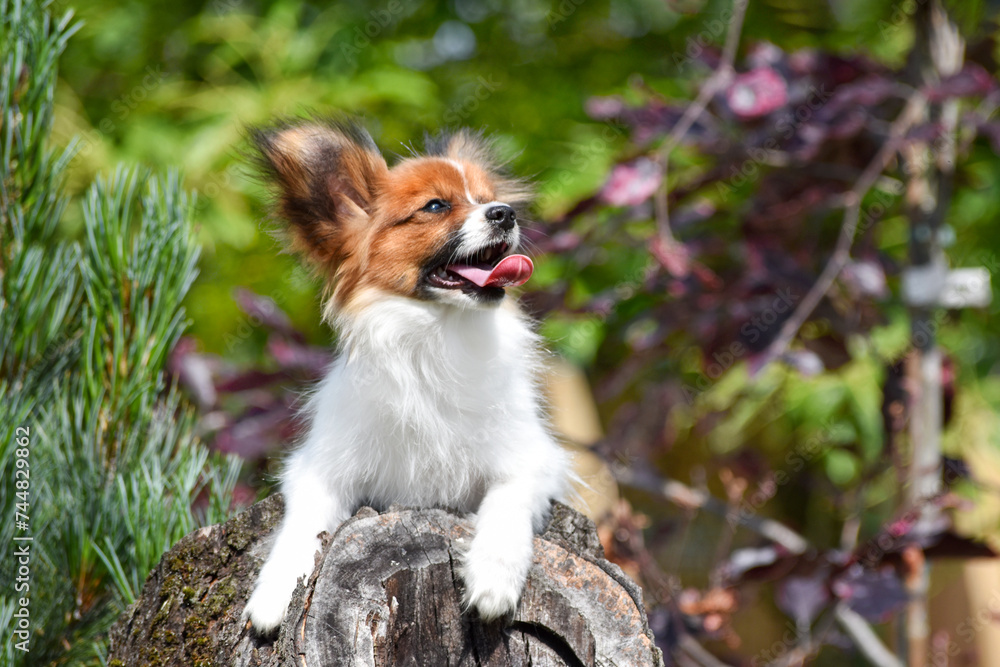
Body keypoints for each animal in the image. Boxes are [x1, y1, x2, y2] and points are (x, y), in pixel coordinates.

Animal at [241, 117, 572, 636]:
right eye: (435, 206)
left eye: (486, 198)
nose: (505, 213)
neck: (436, 335)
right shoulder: (319, 468)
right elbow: (300, 527)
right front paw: (273, 594)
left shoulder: (534, 460)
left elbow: (506, 504)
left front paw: (493, 576)